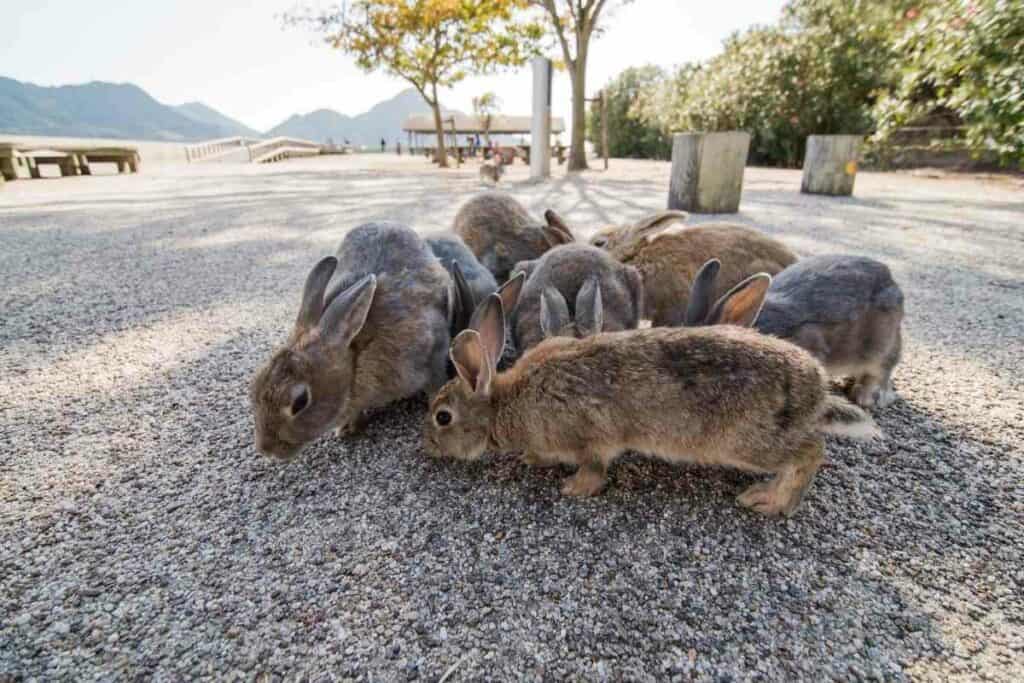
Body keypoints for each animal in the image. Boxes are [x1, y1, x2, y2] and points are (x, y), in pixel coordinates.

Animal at [247, 224, 452, 458]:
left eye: (300, 402)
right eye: (254, 386)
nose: (265, 449)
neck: (354, 356)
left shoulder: (433, 350)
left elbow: (436, 384)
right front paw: (346, 428)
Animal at [423, 294, 880, 518]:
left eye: (442, 418)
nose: (425, 447)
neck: (503, 402)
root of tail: (816, 388)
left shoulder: (589, 435)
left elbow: (595, 466)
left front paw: (573, 488)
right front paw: (533, 460)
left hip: (749, 442)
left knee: (811, 452)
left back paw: (770, 501)